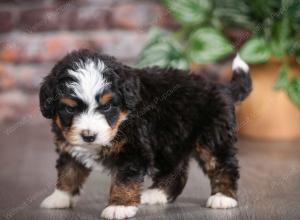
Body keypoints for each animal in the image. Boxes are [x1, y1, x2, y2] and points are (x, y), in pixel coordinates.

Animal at [39, 49, 251, 219]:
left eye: (106, 106)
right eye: (69, 109)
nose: (88, 136)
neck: (122, 120)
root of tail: (221, 87)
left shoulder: (133, 150)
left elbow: (124, 180)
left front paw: (119, 206)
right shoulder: (70, 148)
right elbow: (69, 172)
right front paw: (60, 197)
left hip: (212, 137)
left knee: (224, 164)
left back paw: (223, 197)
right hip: (169, 141)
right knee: (175, 171)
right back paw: (157, 193)